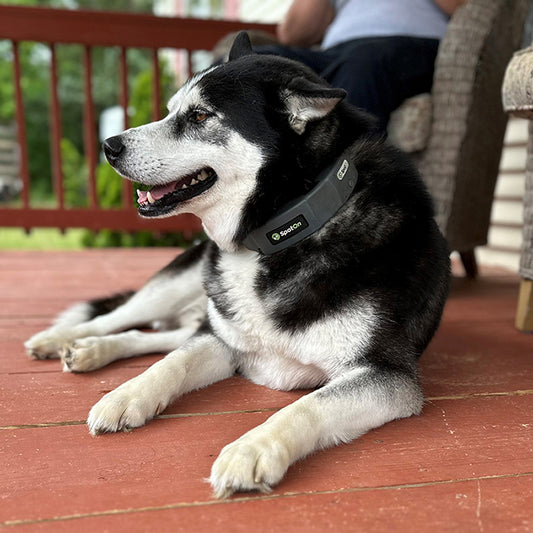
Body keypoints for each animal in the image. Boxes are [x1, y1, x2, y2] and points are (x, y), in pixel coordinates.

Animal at [23, 32, 448, 498]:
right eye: (171, 109)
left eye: (199, 115)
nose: (109, 146)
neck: (279, 234)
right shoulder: (223, 341)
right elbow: (172, 363)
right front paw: (126, 395)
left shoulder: (387, 374)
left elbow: (307, 405)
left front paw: (252, 449)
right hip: (184, 283)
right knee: (125, 319)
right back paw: (67, 341)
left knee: (161, 335)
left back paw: (91, 350)